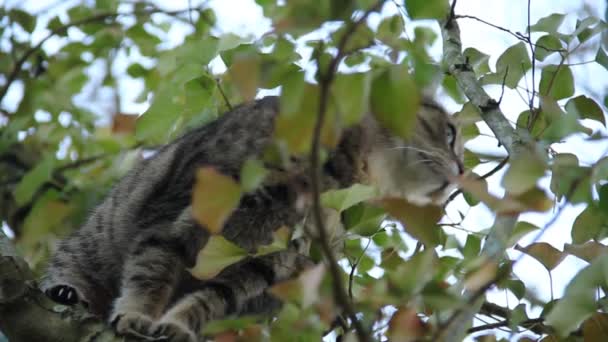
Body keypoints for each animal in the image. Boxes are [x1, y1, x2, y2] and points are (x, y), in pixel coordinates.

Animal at [42, 96, 464, 342]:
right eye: (449, 132)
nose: (462, 169)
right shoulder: (176, 217)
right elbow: (151, 273)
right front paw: (135, 315)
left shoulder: (272, 261)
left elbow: (213, 298)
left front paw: (177, 324)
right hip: (88, 243)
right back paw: (67, 293)